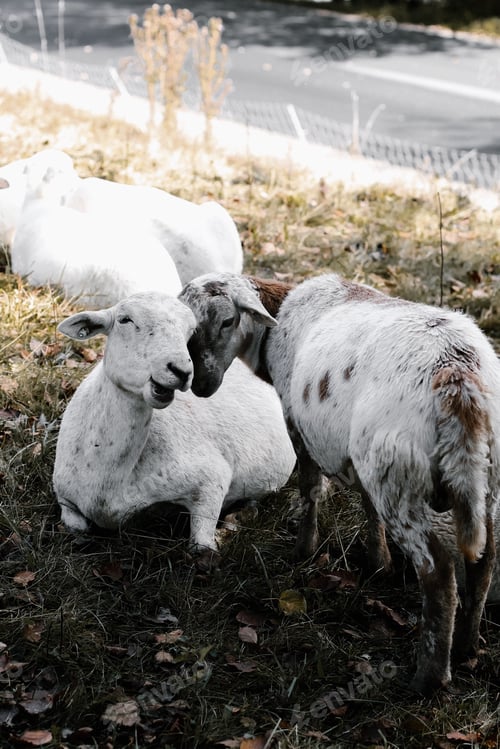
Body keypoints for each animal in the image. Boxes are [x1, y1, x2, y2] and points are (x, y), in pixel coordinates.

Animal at [53, 291, 296, 555]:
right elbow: (77, 529)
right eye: (125, 320)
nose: (181, 371)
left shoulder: (211, 478)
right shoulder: (65, 498)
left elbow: (202, 547)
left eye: (190, 331)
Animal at [179, 271, 500, 693]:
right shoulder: (357, 457)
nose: (199, 384)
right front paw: (379, 563)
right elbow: (366, 505)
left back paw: (428, 679)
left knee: (438, 575)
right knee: (483, 562)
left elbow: (310, 489)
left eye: (229, 321)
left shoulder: (297, 424)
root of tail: (459, 380)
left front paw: (304, 550)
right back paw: (467, 649)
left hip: (398, 480)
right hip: (481, 480)